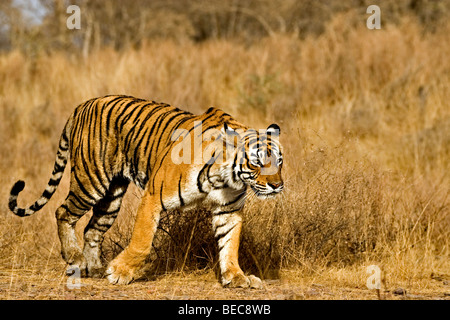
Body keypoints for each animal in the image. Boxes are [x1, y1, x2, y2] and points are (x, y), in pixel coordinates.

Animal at [8, 95, 284, 288]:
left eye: (279, 161)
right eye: (257, 162)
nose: (277, 185)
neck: (226, 177)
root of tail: (83, 104)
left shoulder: (228, 211)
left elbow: (230, 244)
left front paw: (236, 277)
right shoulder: (154, 196)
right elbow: (142, 241)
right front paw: (120, 273)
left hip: (112, 198)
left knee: (92, 230)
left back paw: (95, 268)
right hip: (91, 182)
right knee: (63, 211)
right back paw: (75, 257)